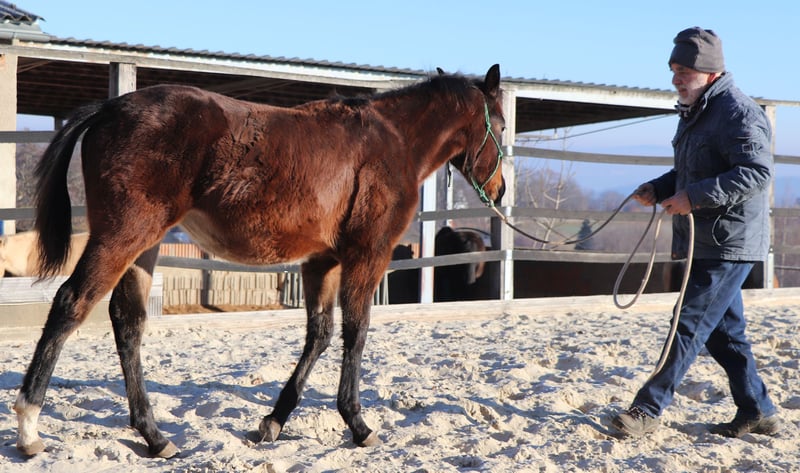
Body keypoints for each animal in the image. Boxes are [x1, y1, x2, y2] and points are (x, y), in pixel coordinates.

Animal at [14, 65, 506, 458]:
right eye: (500, 125)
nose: (499, 192)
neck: (391, 141)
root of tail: (109, 109)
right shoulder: (367, 254)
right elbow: (356, 332)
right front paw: (358, 424)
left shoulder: (322, 261)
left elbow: (319, 334)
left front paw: (273, 422)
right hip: (123, 235)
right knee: (72, 303)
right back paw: (29, 426)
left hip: (144, 245)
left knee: (127, 320)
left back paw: (154, 436)